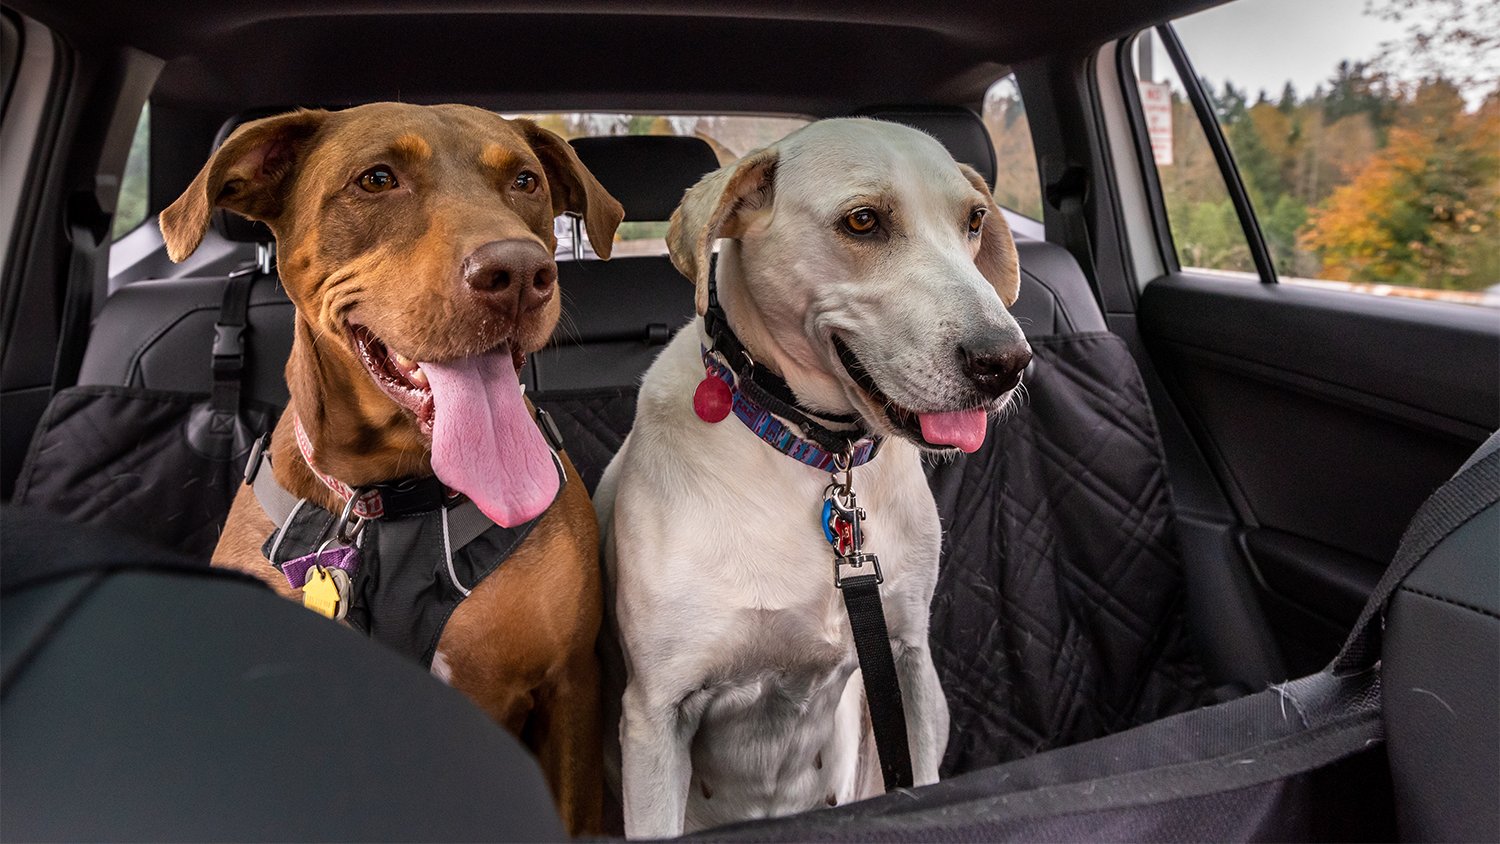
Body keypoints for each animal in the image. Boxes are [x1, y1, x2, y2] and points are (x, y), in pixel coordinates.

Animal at [594, 119, 1032, 839]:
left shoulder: (904, 660)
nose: (1007, 362)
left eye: (973, 220)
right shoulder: (656, 714)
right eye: (862, 221)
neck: (811, 453)